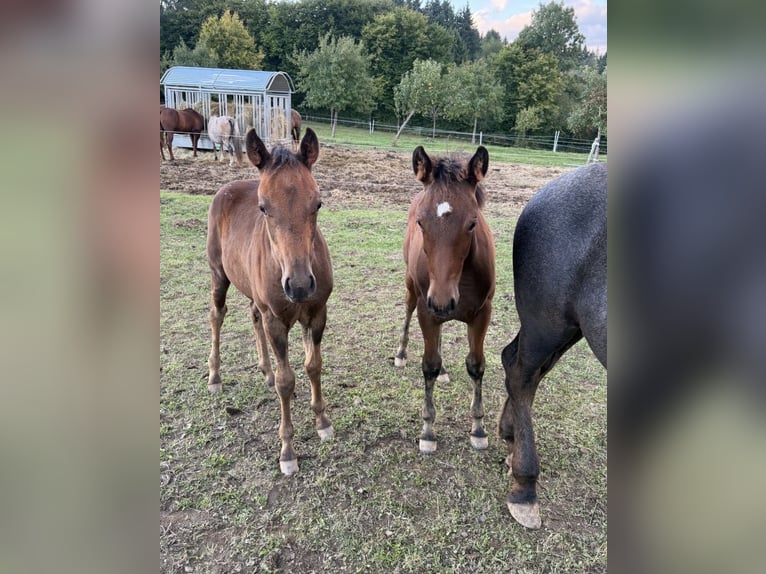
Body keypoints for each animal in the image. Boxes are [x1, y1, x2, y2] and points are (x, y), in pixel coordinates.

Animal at [206, 127, 334, 476]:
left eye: (318, 203)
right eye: (263, 207)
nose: (300, 286)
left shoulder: (317, 313)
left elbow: (314, 365)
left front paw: (322, 421)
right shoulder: (277, 320)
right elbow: (286, 381)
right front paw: (287, 451)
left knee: (253, 315)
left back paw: (264, 370)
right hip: (218, 274)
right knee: (217, 315)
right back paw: (215, 376)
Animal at [395, 145, 496, 454]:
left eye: (472, 223)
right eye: (421, 222)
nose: (442, 301)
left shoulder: (481, 313)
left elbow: (476, 365)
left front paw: (478, 428)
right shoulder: (427, 311)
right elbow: (428, 365)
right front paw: (428, 431)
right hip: (414, 288)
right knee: (408, 309)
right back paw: (400, 354)